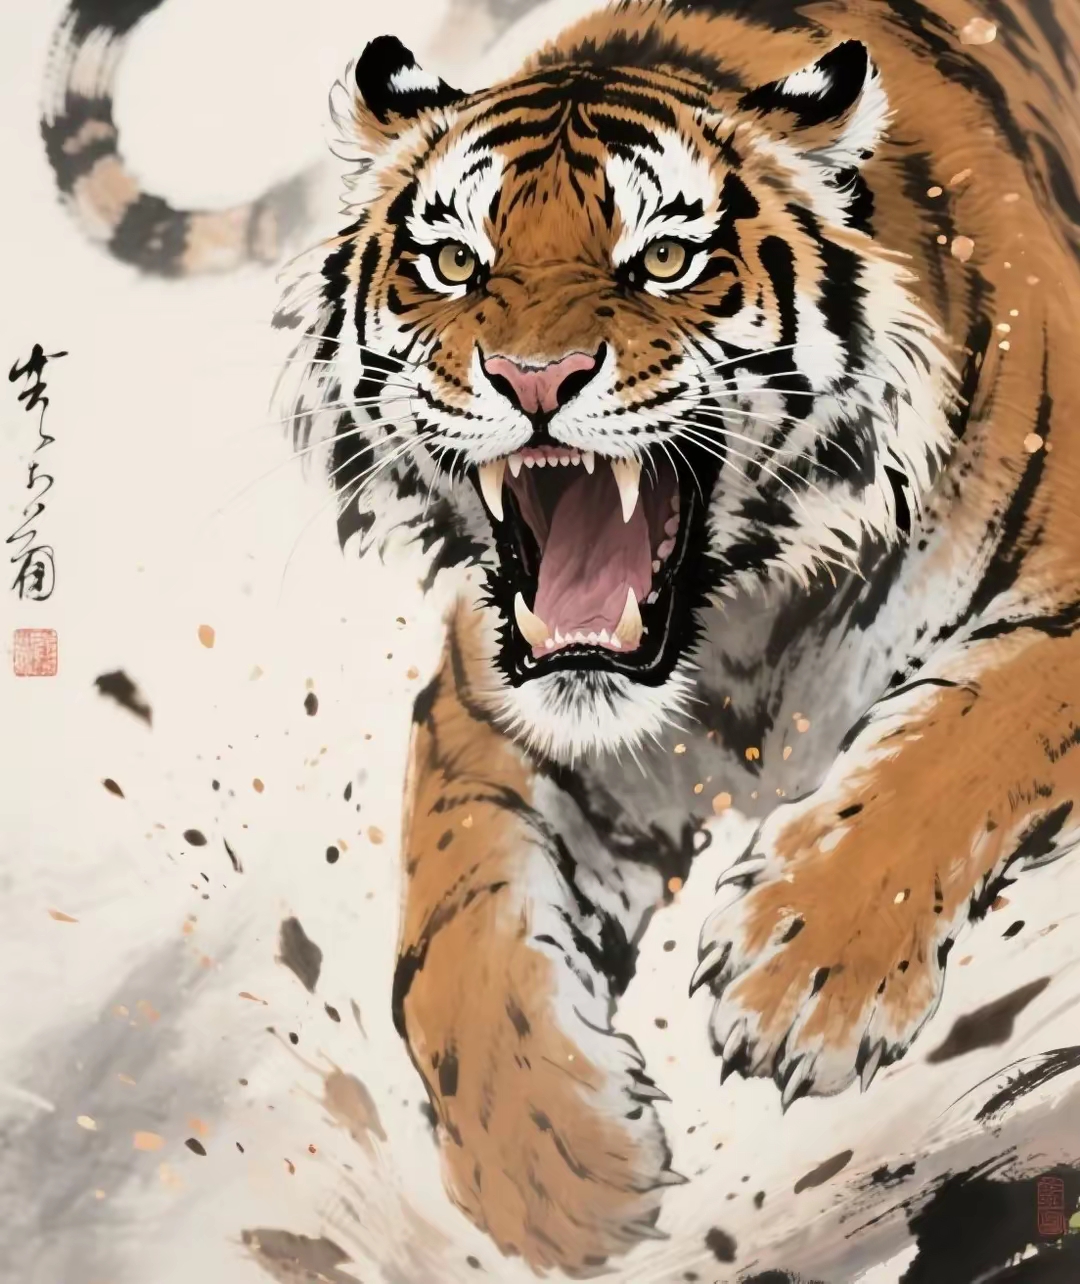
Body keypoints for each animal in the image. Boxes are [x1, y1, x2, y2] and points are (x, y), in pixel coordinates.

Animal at [43, 0, 1080, 1273]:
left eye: (666, 259)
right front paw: (551, 1169)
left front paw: (805, 961)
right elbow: (454, 937)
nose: (533, 379)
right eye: (454, 263)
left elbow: (967, 733)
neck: (749, 624)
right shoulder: (489, 717)